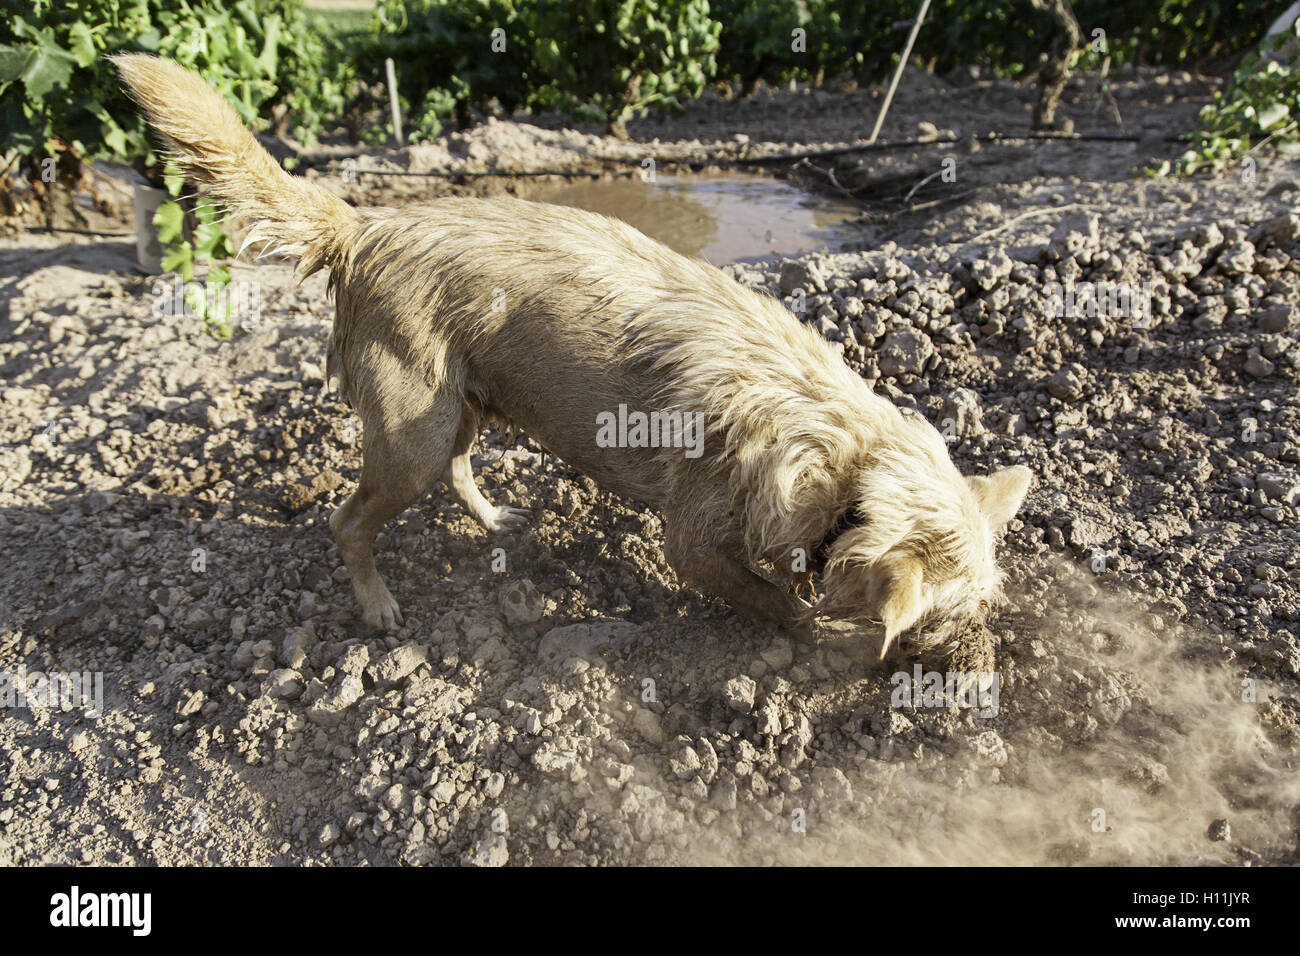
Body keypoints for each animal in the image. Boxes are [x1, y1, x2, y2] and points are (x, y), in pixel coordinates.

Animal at [116, 54, 1029, 658]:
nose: (980, 670)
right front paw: (812, 634)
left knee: (458, 472)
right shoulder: (693, 543)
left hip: (460, 407)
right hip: (411, 435)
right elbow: (772, 599)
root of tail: (366, 222)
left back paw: (492, 521)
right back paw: (377, 606)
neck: (846, 460)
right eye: (952, 621)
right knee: (347, 520)